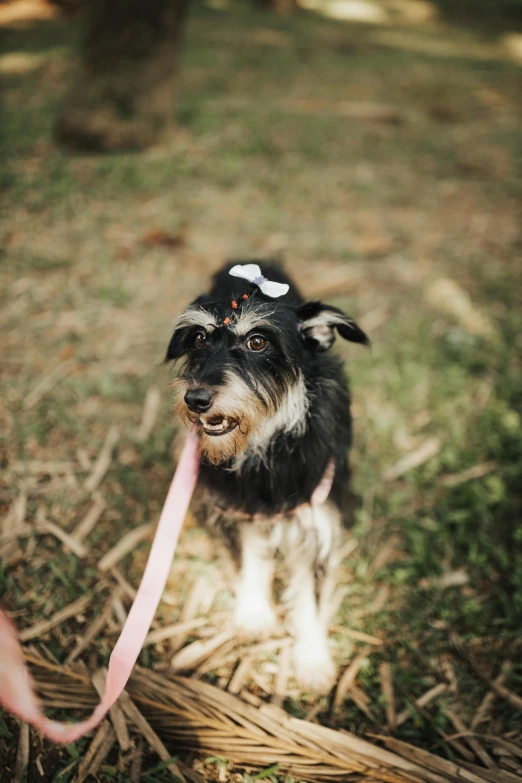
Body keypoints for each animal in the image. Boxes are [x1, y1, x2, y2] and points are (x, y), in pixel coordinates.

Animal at [166, 264, 366, 692]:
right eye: (199, 338)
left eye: (258, 341)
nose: (195, 400)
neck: (267, 440)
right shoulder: (237, 509)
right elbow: (251, 560)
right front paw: (254, 614)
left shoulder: (317, 522)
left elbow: (310, 595)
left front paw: (312, 659)